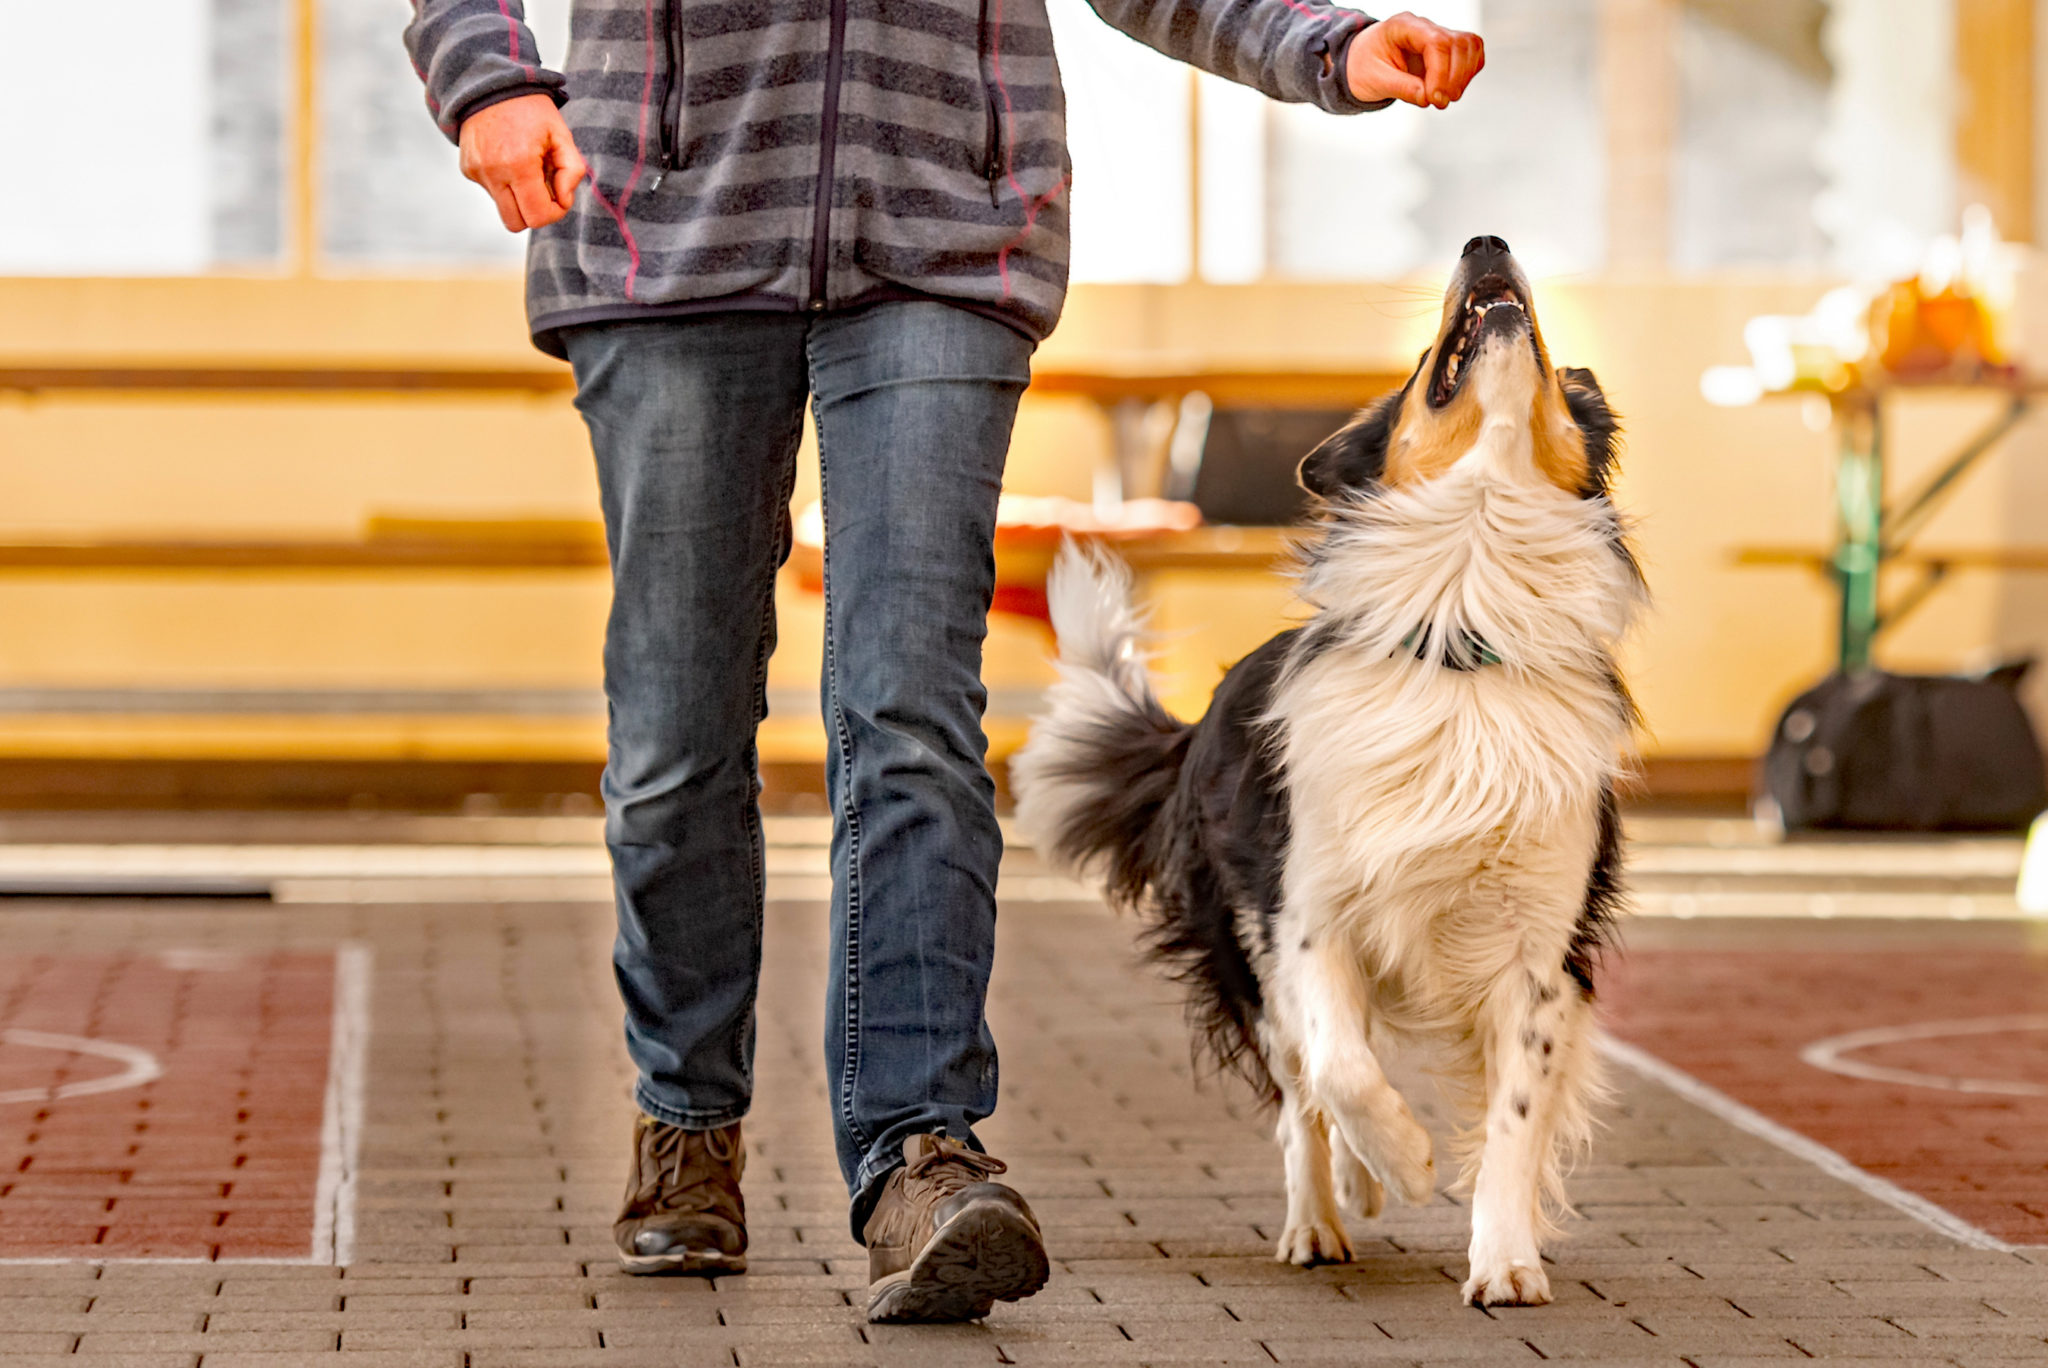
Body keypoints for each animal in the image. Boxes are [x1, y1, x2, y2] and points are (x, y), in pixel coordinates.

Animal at [1011, 237, 1646, 1310]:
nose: (1486, 243)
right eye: (1418, 370)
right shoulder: (1308, 914)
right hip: (1245, 948)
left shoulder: (1539, 951)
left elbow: (1513, 1118)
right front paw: (1404, 1162)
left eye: (1559, 376)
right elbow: (1341, 1069)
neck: (1463, 627)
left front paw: (1504, 1258)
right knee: (1300, 1085)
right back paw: (1326, 1212)